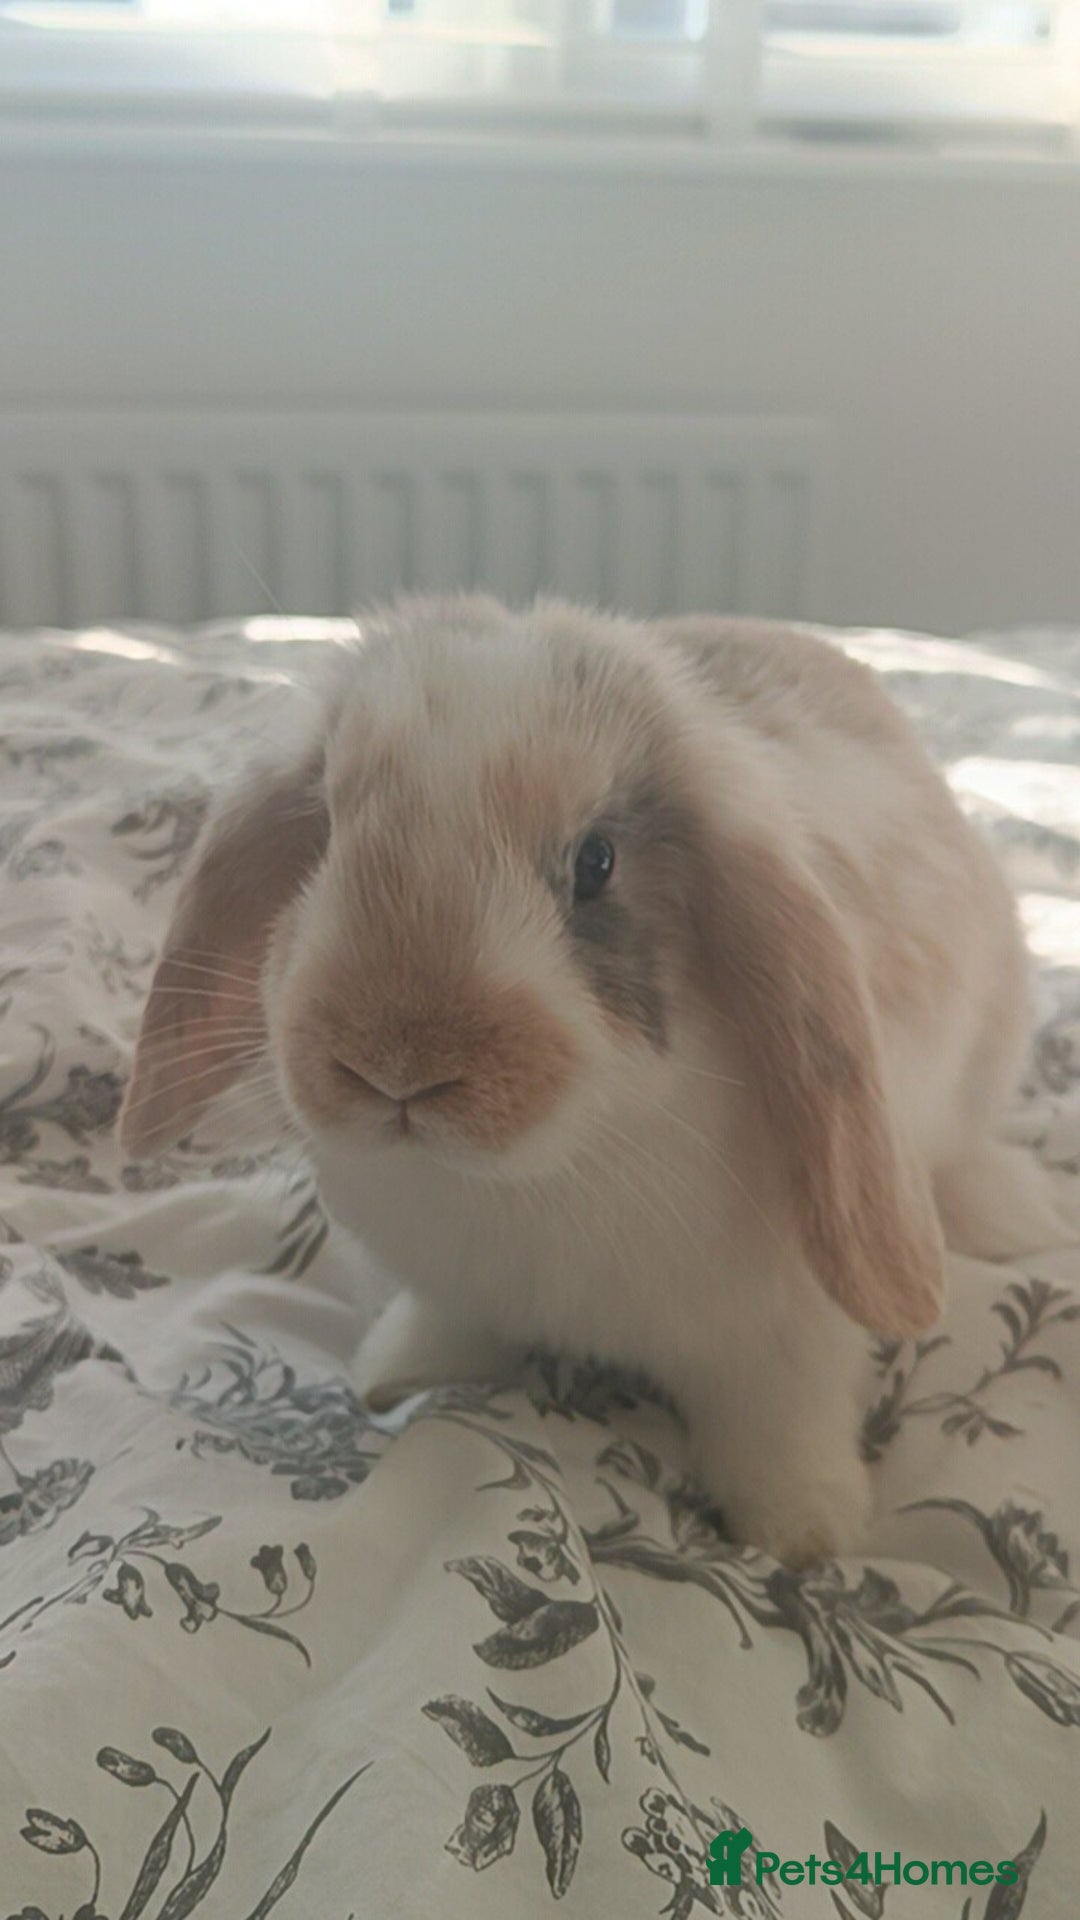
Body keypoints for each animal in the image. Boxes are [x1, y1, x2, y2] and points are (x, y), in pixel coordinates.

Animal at [119, 593, 1065, 1566]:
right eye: (325, 835)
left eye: (596, 864)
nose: (397, 1065)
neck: (552, 1168)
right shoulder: (460, 1285)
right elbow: (445, 1323)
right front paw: (393, 1373)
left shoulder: (784, 1343)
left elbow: (782, 1428)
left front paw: (804, 1532)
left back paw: (1012, 1216)